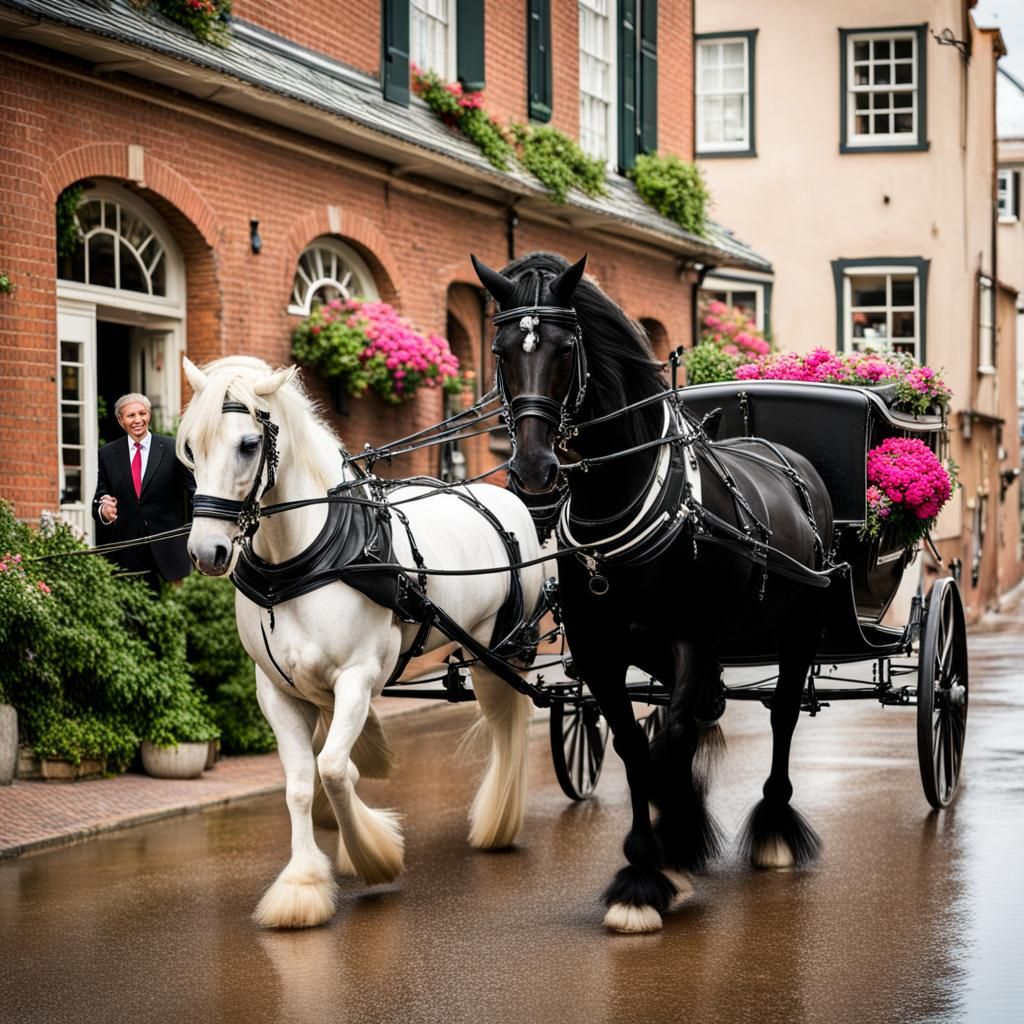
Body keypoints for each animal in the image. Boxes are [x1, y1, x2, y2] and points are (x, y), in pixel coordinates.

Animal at [178, 355, 545, 929]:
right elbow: (302, 782)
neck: (302, 561)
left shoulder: (357, 676)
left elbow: (331, 768)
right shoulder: (277, 692)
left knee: (508, 732)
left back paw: (497, 823)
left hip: (500, 653)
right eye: (192, 447)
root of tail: (503, 497)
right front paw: (303, 884)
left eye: (248, 444)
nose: (207, 551)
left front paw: (374, 856)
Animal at [472, 252, 836, 933]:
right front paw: (646, 871)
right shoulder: (602, 656)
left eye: (566, 348)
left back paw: (774, 829)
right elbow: (638, 748)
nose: (533, 470)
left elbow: (670, 742)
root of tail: (778, 449)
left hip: (799, 623)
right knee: (699, 715)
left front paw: (677, 842)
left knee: (780, 717)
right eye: (501, 351)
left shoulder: (691, 641)